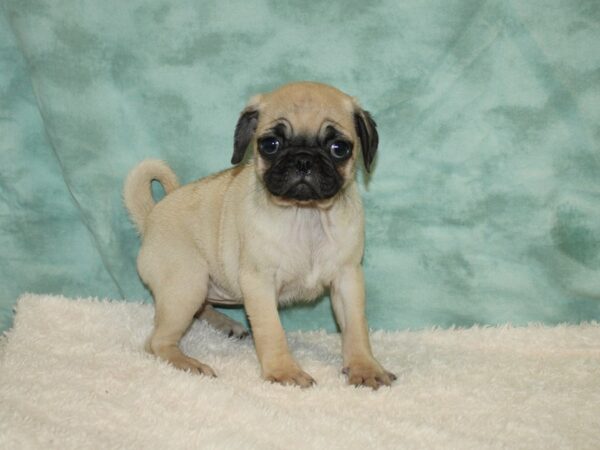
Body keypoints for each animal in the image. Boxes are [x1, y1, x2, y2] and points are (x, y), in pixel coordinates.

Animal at [124, 82, 396, 388]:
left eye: (339, 148)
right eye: (270, 145)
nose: (303, 160)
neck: (306, 215)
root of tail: (150, 217)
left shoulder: (347, 278)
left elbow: (356, 328)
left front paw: (365, 367)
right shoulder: (259, 282)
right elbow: (271, 330)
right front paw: (284, 371)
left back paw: (226, 324)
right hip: (187, 283)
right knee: (157, 342)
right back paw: (188, 363)